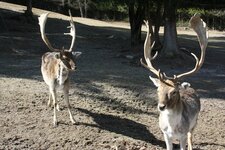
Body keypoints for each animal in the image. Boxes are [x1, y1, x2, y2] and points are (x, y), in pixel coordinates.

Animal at [142, 13, 208, 149]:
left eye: (173, 92)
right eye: (158, 89)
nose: (161, 106)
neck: (173, 129)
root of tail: (190, 87)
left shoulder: (182, 135)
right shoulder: (165, 134)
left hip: (195, 122)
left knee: (191, 136)